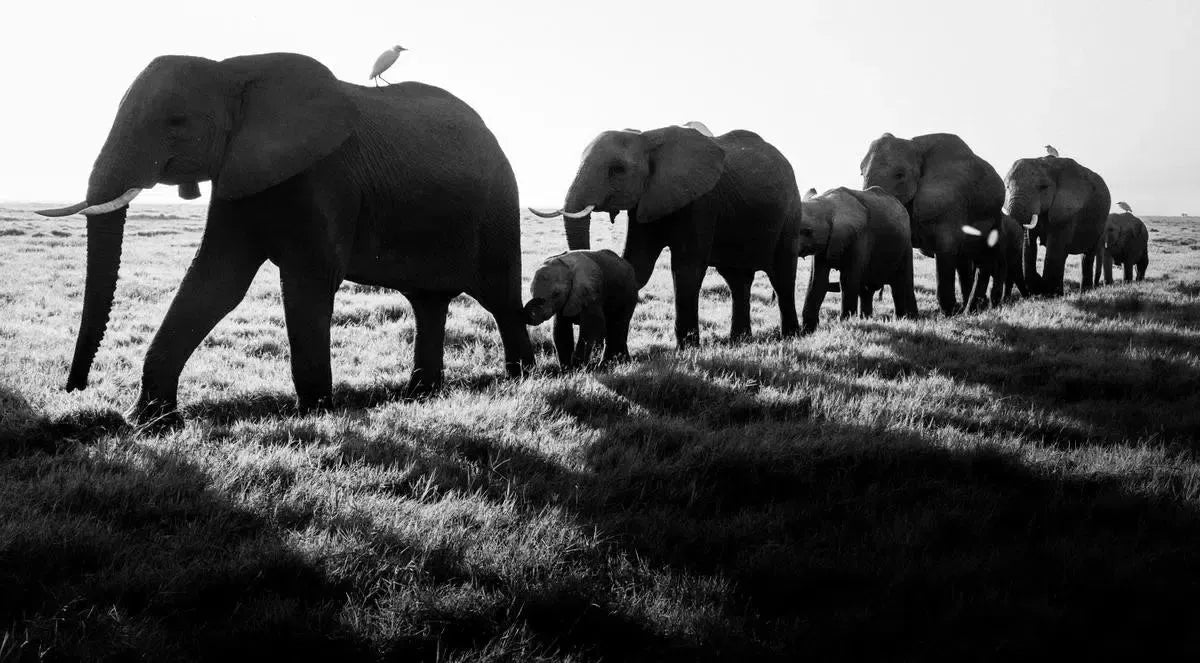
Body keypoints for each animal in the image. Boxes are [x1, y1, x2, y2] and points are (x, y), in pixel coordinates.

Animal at [35, 52, 533, 427]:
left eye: (175, 121)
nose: (74, 388)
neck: (231, 71)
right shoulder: (240, 169)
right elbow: (216, 281)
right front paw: (151, 423)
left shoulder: (325, 177)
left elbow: (308, 281)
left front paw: (315, 416)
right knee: (428, 303)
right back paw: (420, 395)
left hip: (498, 208)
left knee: (501, 299)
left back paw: (521, 381)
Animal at [529, 124, 801, 346]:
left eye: (617, 169)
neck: (646, 139)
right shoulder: (644, 202)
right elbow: (636, 265)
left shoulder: (701, 202)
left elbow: (686, 268)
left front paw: (688, 349)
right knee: (737, 280)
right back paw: (739, 341)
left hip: (790, 212)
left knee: (782, 275)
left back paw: (790, 337)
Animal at [796, 186, 918, 332]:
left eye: (807, 232)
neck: (825, 205)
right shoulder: (825, 246)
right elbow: (817, 281)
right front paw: (807, 331)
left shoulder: (859, 237)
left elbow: (847, 280)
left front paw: (845, 324)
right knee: (867, 289)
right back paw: (867, 319)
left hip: (906, 244)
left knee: (902, 284)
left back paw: (909, 319)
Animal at [860, 133, 1006, 315]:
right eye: (861, 172)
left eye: (900, 175)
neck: (917, 148)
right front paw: (911, 316)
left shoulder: (948, 200)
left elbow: (945, 249)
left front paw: (950, 312)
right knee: (965, 260)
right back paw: (971, 308)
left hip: (994, 216)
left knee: (983, 259)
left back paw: (970, 309)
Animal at [1002, 155, 1111, 296]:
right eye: (1007, 187)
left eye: (1043, 187)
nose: (1029, 294)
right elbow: (1029, 242)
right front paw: (1042, 288)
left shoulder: (1066, 210)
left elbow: (1055, 246)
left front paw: (1050, 294)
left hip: (1101, 224)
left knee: (1088, 255)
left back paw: (1084, 291)